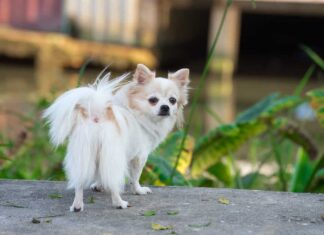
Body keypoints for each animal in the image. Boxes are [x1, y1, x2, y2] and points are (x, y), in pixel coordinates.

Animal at [43, 63, 190, 211]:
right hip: (112, 154)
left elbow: (101, 173)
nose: (165, 107)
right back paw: (119, 203)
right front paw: (138, 190)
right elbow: (135, 177)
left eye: (172, 101)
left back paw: (77, 206)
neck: (138, 113)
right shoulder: (139, 156)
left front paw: (98, 185)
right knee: (114, 183)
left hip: (83, 153)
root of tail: (97, 114)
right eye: (153, 100)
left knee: (79, 181)